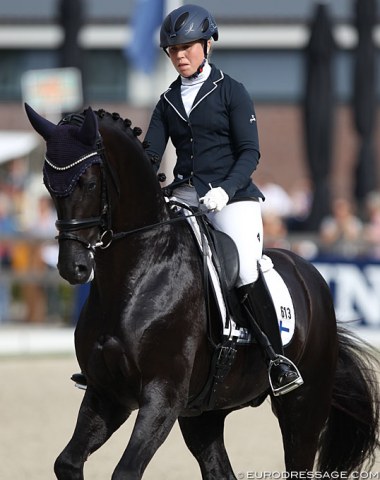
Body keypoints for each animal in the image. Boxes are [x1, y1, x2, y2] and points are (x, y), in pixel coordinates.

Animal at [25, 105, 378, 480]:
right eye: (48, 185)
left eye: (89, 183)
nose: (72, 267)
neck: (136, 274)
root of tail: (309, 273)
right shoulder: (107, 394)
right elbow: (67, 461)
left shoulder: (163, 396)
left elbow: (125, 471)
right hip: (204, 414)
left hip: (303, 407)